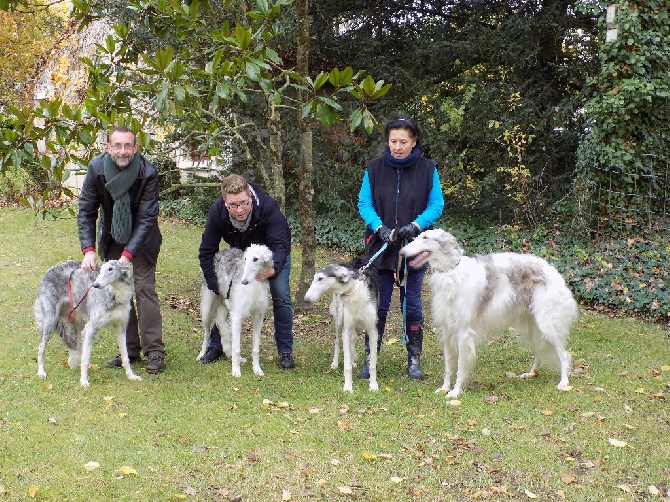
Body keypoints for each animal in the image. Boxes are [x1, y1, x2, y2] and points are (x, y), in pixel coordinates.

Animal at [198, 245, 274, 378]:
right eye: (245, 258)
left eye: (255, 259)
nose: (244, 282)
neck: (254, 284)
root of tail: (219, 253)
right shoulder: (237, 316)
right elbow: (237, 348)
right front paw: (236, 371)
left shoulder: (258, 317)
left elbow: (256, 349)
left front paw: (257, 369)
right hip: (207, 309)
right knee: (207, 333)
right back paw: (202, 354)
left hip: (225, 306)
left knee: (222, 326)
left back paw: (232, 355)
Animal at [304, 262, 380, 392]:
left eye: (320, 278)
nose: (306, 299)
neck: (353, 291)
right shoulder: (347, 328)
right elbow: (347, 366)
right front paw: (348, 387)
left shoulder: (372, 330)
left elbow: (372, 365)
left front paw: (373, 385)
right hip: (340, 321)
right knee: (338, 341)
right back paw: (335, 363)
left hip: (357, 327)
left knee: (353, 339)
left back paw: (353, 359)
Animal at [400, 229, 576, 398]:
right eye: (416, 236)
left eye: (425, 237)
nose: (401, 252)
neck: (451, 273)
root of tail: (552, 270)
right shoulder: (447, 331)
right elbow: (448, 367)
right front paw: (444, 388)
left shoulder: (463, 332)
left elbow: (460, 367)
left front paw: (455, 392)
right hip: (531, 325)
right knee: (539, 351)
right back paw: (531, 373)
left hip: (546, 323)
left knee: (564, 355)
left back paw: (564, 383)